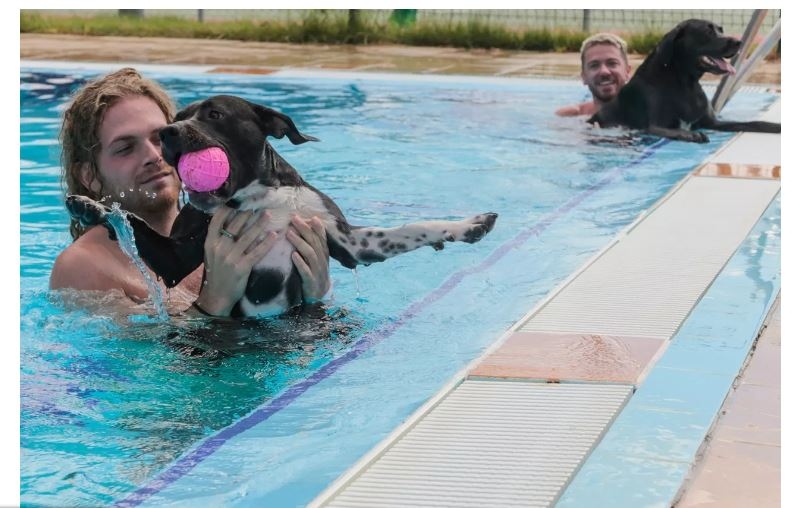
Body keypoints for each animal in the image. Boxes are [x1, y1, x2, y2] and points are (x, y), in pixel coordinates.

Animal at [69, 95, 496, 318]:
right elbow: (133, 222)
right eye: (176, 118)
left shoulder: (350, 243)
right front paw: (90, 205)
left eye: (215, 114)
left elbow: (411, 228)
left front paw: (467, 225)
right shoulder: (177, 257)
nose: (166, 133)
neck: (260, 196)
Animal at [588, 18, 780, 142]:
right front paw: (693, 135)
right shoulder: (654, 126)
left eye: (721, 29)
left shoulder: (713, 122)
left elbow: (753, 123)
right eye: (707, 31)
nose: (739, 43)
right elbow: (677, 130)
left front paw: (775, 126)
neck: (686, 85)